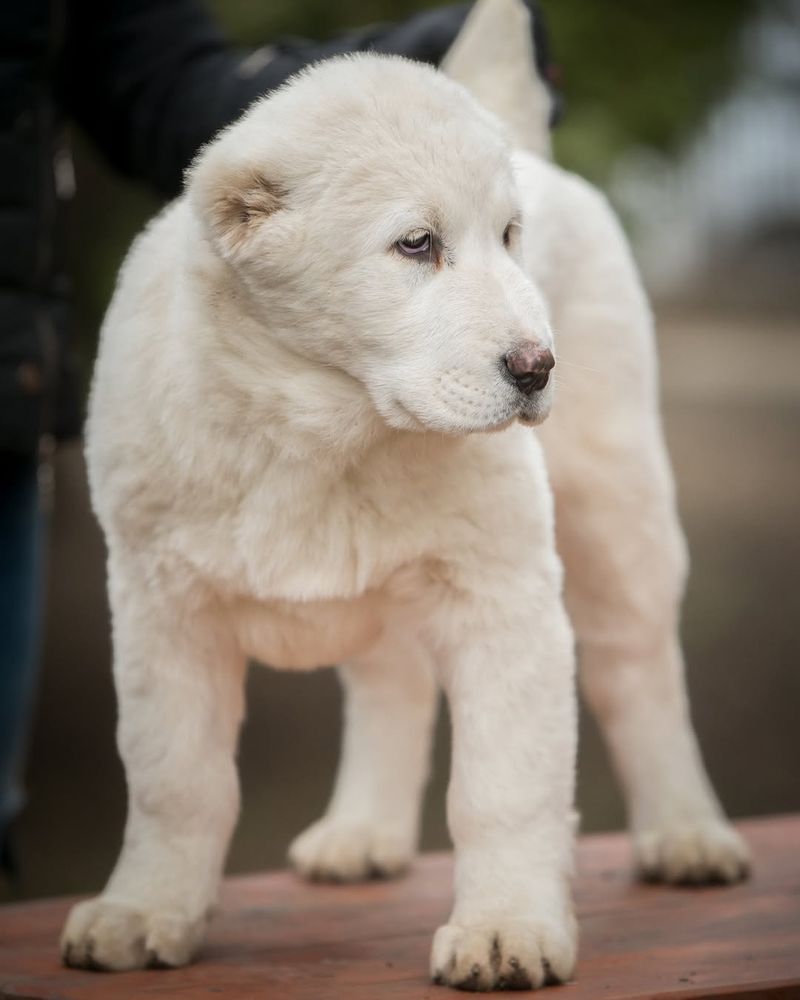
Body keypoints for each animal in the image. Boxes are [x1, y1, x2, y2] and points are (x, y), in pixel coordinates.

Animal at [61, 0, 752, 988]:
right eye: (416, 244)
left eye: (510, 238)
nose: (539, 367)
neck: (323, 430)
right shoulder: (161, 602)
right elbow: (174, 776)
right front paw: (145, 909)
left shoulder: (506, 596)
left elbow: (503, 785)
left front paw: (507, 928)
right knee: (392, 687)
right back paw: (362, 832)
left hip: (621, 508)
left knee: (641, 671)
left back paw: (687, 834)